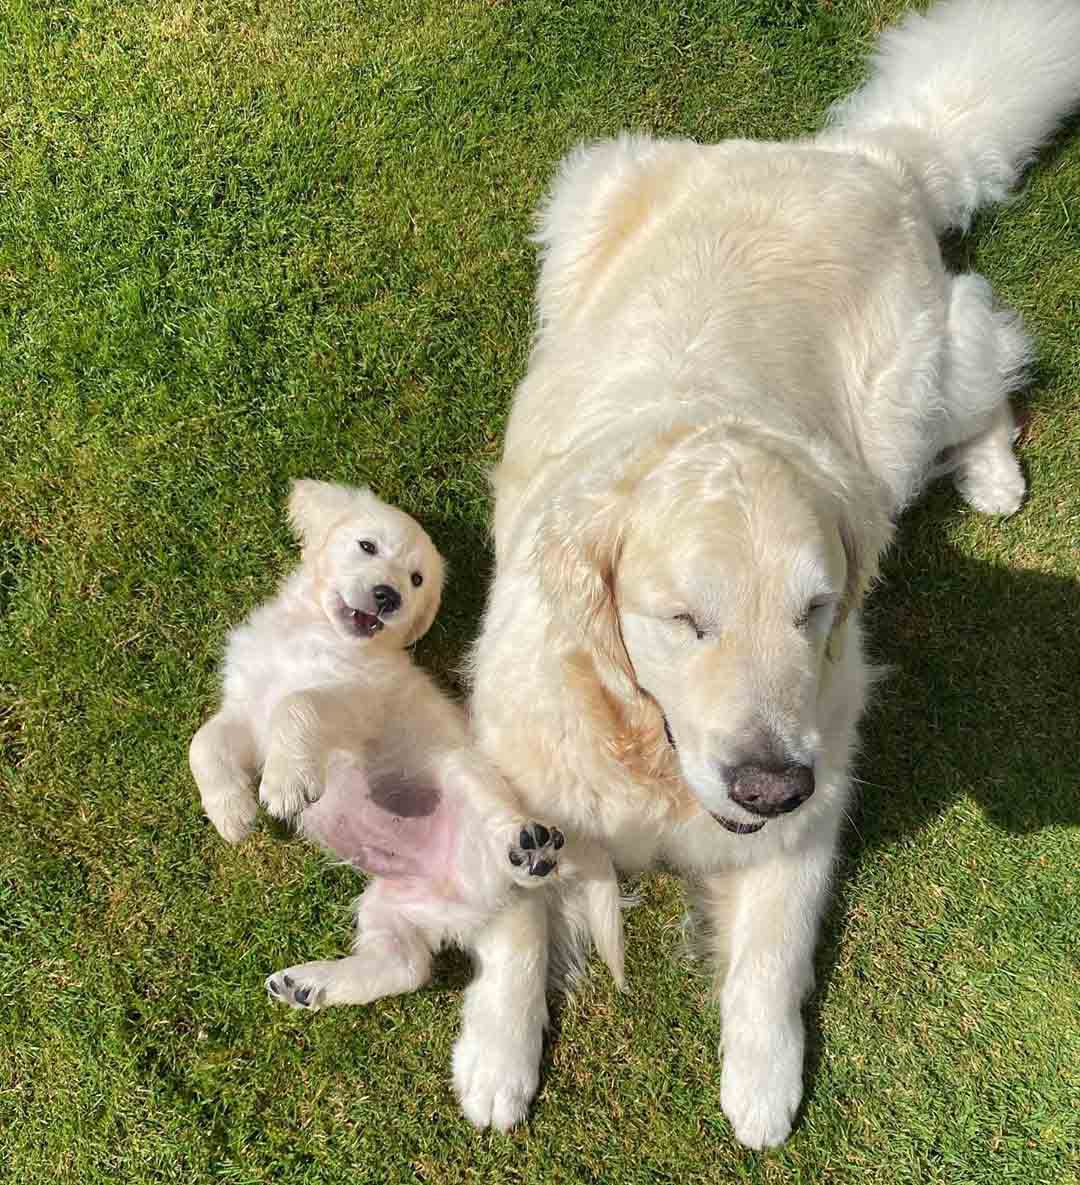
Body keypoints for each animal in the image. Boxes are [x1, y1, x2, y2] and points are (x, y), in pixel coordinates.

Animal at [189, 476, 621, 1014]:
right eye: (367, 546)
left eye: (416, 580)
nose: (387, 595)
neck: (314, 628)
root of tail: (479, 894)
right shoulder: (245, 710)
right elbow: (203, 743)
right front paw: (230, 812)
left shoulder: (354, 704)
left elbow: (297, 703)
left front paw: (285, 783)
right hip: (391, 906)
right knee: (405, 967)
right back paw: (309, 983)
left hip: (460, 773)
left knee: (503, 827)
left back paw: (527, 848)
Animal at [452, 0, 1080, 1147]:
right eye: (681, 620)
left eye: (815, 610)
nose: (768, 783)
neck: (644, 743)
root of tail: (863, 156)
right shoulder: (514, 756)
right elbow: (513, 913)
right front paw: (495, 1055)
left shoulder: (820, 778)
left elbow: (775, 946)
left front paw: (762, 1077)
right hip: (587, 189)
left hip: (912, 393)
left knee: (989, 370)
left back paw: (994, 473)